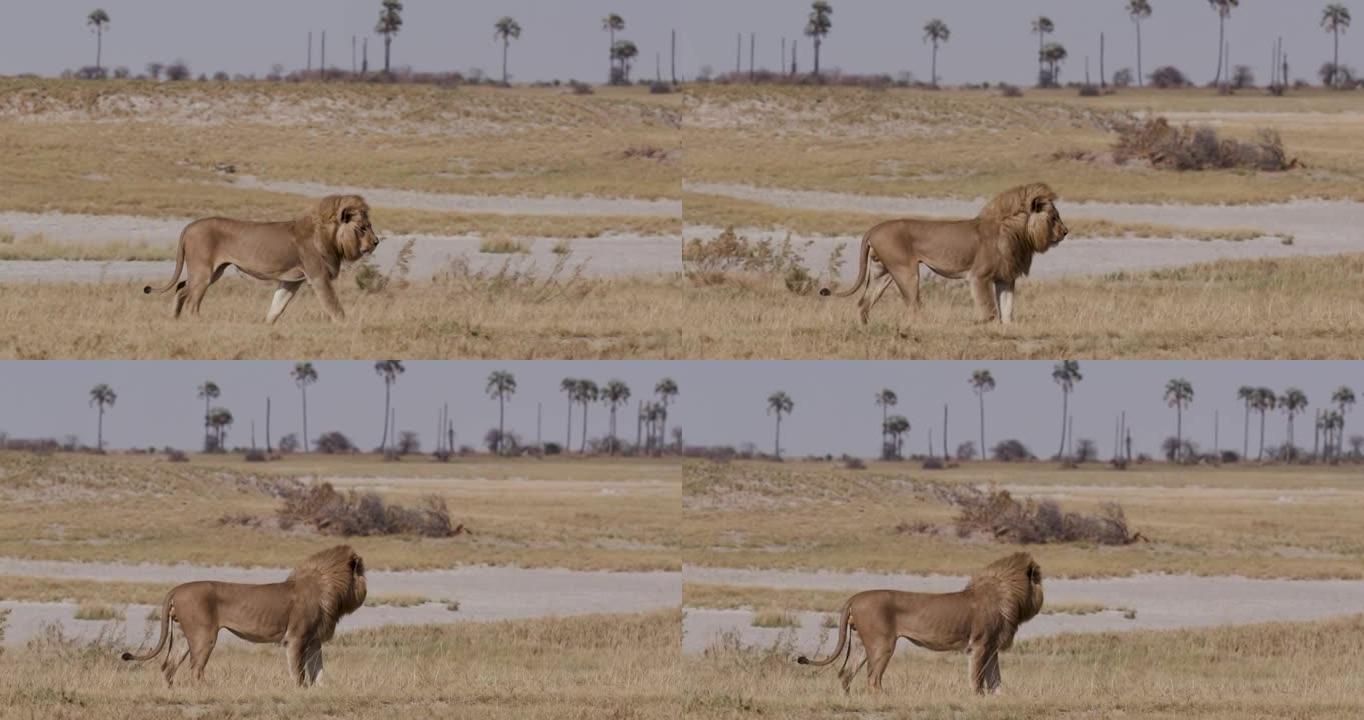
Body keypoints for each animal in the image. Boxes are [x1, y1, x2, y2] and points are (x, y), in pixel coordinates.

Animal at [120, 545, 368, 687]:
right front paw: (300, 690)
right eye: (363, 572)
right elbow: (298, 672)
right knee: (195, 669)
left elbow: (318, 671)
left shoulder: (314, 640)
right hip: (204, 636)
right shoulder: (296, 638)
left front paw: (321, 691)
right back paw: (209, 691)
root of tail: (176, 589)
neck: (329, 588)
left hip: (183, 635)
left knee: (169, 667)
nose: (366, 589)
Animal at [142, 195, 379, 321]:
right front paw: (346, 326)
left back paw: (175, 320)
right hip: (203, 273)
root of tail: (189, 226)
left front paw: (265, 326)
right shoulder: (318, 277)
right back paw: (196, 322)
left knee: (181, 289)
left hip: (214, 271)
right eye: (362, 228)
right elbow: (335, 307)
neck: (328, 236)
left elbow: (277, 306)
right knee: (190, 298)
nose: (376, 242)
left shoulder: (291, 280)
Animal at [796, 553, 1036, 695]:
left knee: (846, 674)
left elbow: (995, 678)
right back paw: (886, 698)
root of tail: (855, 597)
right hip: (882, 644)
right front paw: (977, 697)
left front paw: (996, 698)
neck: (1007, 594)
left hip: (860, 643)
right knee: (873, 679)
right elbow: (977, 676)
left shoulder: (991, 647)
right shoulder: (979, 645)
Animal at [818, 184, 1063, 327]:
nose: (1066, 231)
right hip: (906, 271)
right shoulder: (979, 276)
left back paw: (865, 328)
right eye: (1054, 217)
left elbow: (1008, 309)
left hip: (882, 273)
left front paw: (1007, 330)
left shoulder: (1005, 278)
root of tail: (874, 228)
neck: (1017, 233)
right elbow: (991, 310)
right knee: (913, 305)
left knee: (863, 303)